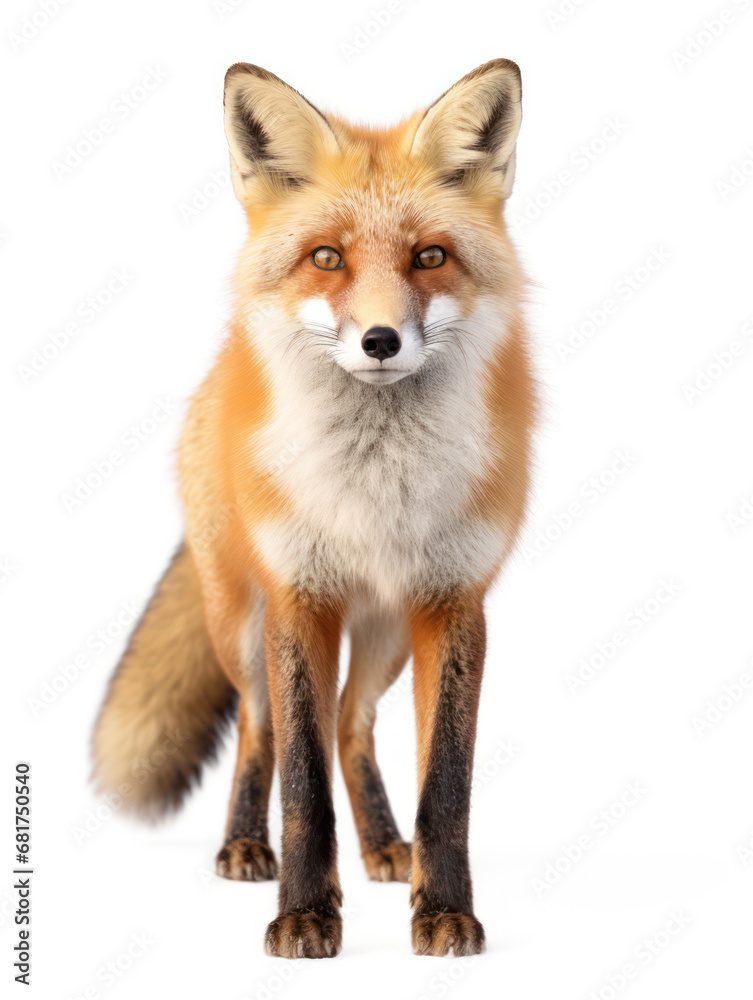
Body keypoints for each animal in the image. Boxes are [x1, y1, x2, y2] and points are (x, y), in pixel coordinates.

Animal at [92, 58, 537, 959]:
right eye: (326, 257)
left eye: (430, 256)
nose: (380, 341)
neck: (376, 493)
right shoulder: (301, 596)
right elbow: (300, 780)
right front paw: (303, 916)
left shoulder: (453, 603)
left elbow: (446, 788)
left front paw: (444, 912)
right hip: (244, 627)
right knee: (262, 730)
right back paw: (243, 846)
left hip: (383, 636)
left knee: (350, 724)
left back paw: (383, 847)